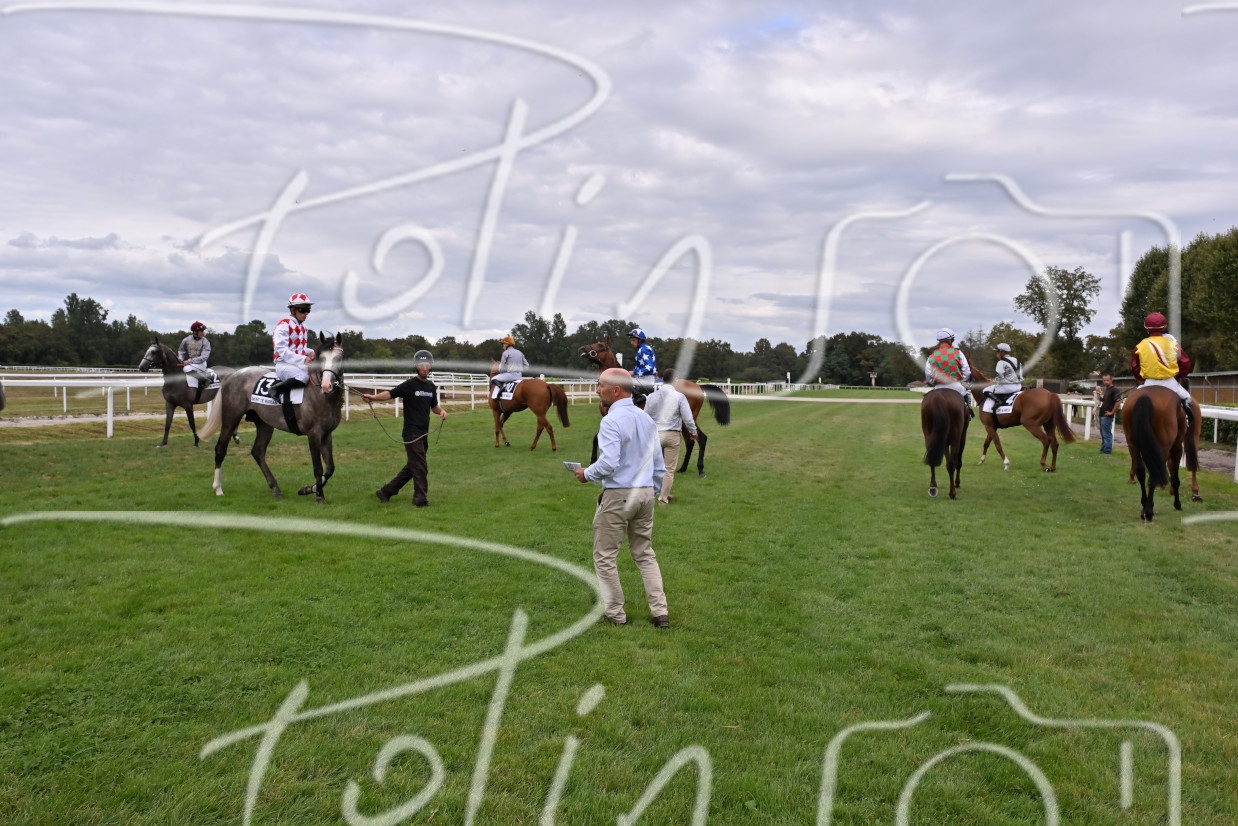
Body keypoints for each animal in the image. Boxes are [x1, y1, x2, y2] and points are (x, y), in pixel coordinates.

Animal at [199, 332, 345, 503]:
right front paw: (319, 495)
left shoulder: (326, 434)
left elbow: (330, 468)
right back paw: (218, 488)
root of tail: (233, 374)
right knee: (220, 449)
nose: (327, 386)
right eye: (321, 358)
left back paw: (275, 487)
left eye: (339, 358)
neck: (321, 396)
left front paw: (309, 489)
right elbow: (318, 467)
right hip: (231, 418)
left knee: (258, 452)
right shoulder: (314, 434)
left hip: (264, 424)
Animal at [578, 336, 731, 477]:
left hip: (688, 418)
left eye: (600, 345)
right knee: (690, 441)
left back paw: (700, 469)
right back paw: (682, 468)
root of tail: (697, 386)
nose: (582, 348)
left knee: (701, 439)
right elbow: (597, 438)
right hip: (683, 421)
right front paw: (593, 462)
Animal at [1123, 385, 1202, 521]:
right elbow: (1175, 476)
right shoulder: (1177, 447)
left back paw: (1145, 505)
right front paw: (1177, 503)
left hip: (1132, 444)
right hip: (1163, 445)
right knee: (1154, 473)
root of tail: (1145, 396)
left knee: (1141, 471)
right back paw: (1149, 511)